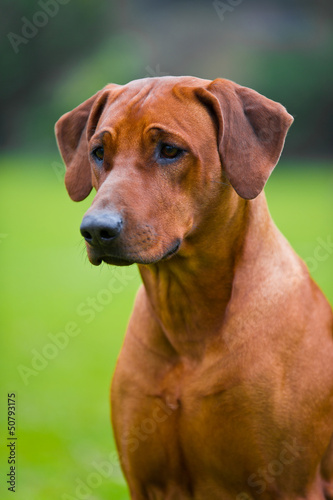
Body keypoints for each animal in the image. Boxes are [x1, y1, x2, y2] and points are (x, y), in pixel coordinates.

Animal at [55, 75, 332, 500]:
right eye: (98, 152)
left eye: (170, 150)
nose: (96, 230)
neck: (187, 317)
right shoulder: (143, 482)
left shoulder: (292, 485)